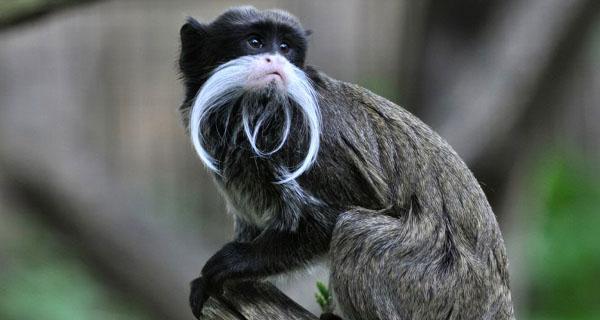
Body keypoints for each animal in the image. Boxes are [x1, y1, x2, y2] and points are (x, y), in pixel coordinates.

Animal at [178, 5, 516, 320]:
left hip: (437, 283)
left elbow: (329, 219)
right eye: (255, 42)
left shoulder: (306, 139)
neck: (248, 114)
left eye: (285, 47)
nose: (276, 60)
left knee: (355, 230)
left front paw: (236, 261)